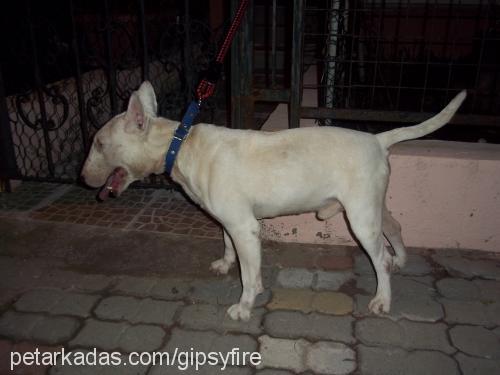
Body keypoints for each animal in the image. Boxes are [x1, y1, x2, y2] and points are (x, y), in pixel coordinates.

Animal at [80, 83, 466, 324]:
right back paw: (401, 260)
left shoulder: (245, 228)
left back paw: (383, 299)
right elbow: (230, 248)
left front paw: (244, 306)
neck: (180, 144)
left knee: (380, 259)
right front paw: (226, 263)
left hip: (360, 219)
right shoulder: (230, 223)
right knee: (395, 228)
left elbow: (249, 276)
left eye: (99, 143)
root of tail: (378, 139)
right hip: (372, 209)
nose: (82, 177)